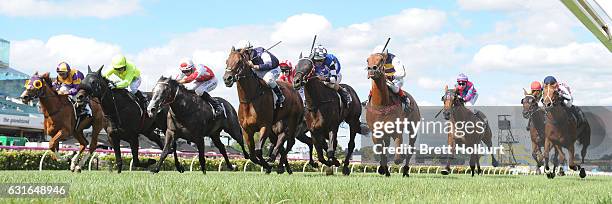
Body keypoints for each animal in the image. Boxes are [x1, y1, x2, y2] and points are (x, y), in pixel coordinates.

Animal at [222, 46, 304, 174]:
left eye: (239, 61)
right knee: (280, 143)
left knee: (289, 142)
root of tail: (296, 92)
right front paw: (267, 166)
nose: (227, 78)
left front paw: (268, 165)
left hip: (292, 122)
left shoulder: (265, 126)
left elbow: (258, 151)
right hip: (275, 128)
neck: (251, 99)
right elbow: (252, 155)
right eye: (227, 61)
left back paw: (279, 165)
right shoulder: (246, 130)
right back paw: (279, 164)